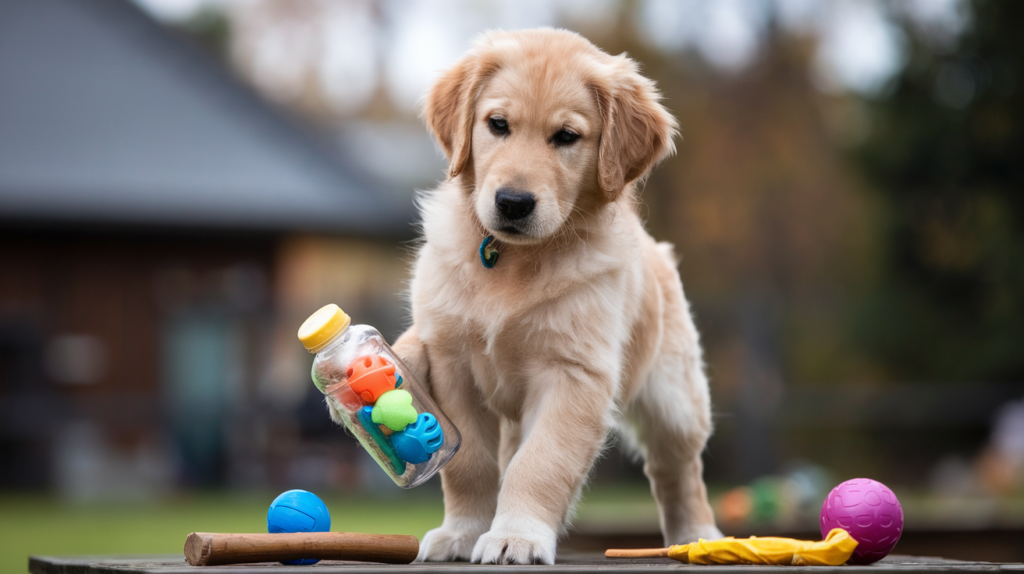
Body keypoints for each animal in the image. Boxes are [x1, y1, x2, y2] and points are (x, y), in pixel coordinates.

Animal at [389, 28, 720, 564]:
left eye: (566, 136)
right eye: (497, 125)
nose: (513, 203)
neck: (513, 260)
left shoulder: (573, 374)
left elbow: (541, 463)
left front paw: (516, 535)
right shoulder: (452, 365)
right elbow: (469, 463)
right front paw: (463, 531)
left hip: (676, 398)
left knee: (677, 469)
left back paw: (696, 535)